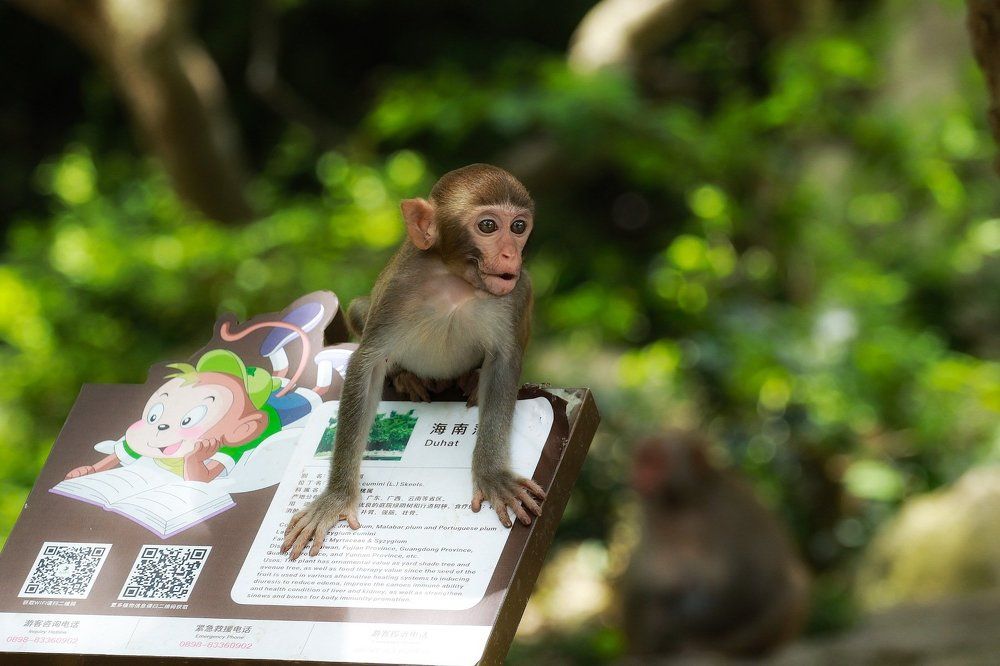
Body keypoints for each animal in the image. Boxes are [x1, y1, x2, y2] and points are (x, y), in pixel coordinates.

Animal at [281, 164, 545, 560]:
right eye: (488, 226)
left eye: (518, 227)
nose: (511, 256)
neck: (456, 283)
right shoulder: (399, 289)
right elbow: (367, 364)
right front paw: (337, 497)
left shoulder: (512, 297)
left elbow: (504, 363)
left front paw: (492, 474)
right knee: (360, 311)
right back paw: (408, 378)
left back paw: (469, 379)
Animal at [622, 431, 810, 658]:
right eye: (640, 460)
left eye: (656, 462)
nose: (639, 475)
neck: (683, 501)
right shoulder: (652, 514)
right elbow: (647, 577)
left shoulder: (730, 509)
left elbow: (750, 578)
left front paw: (672, 621)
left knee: (791, 584)